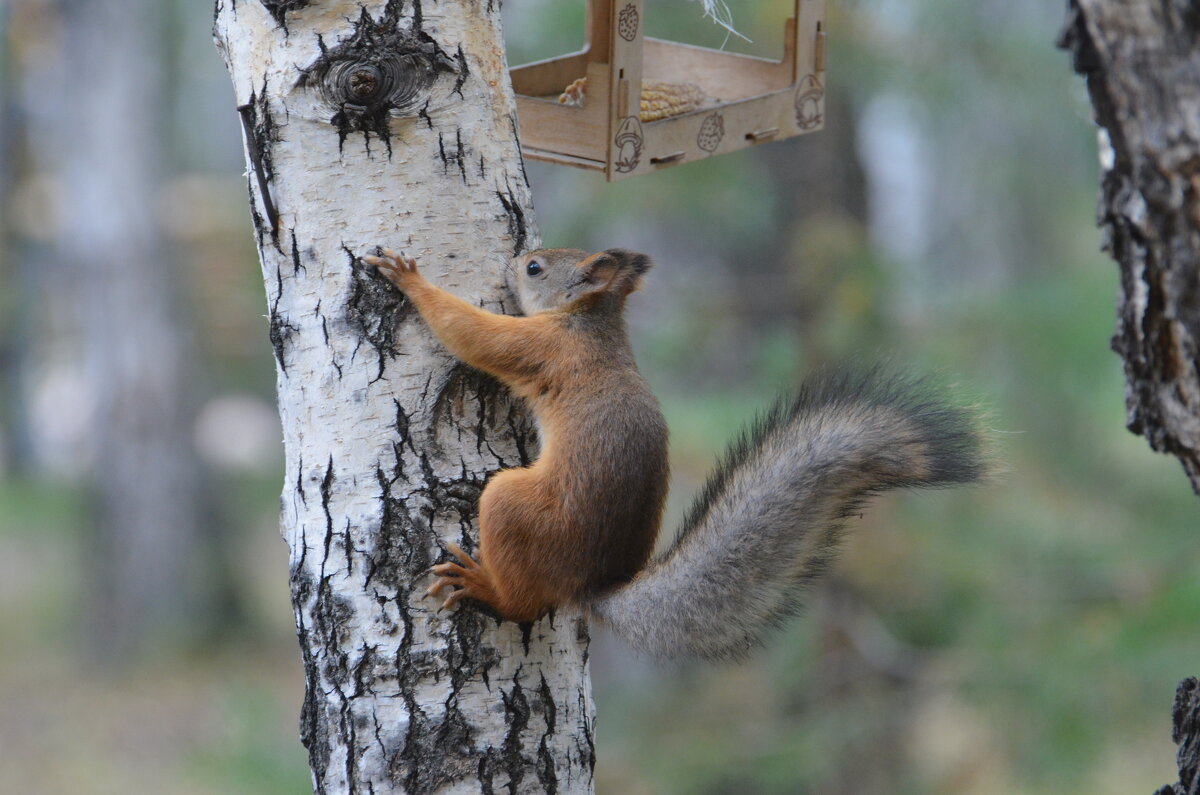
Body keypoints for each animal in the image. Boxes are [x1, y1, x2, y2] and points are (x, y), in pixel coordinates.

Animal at [362, 247, 984, 658]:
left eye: (536, 268)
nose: (512, 258)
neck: (591, 322)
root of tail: (591, 586)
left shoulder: (541, 346)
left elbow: (472, 335)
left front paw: (408, 280)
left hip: (515, 503)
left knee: (522, 602)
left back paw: (482, 584)